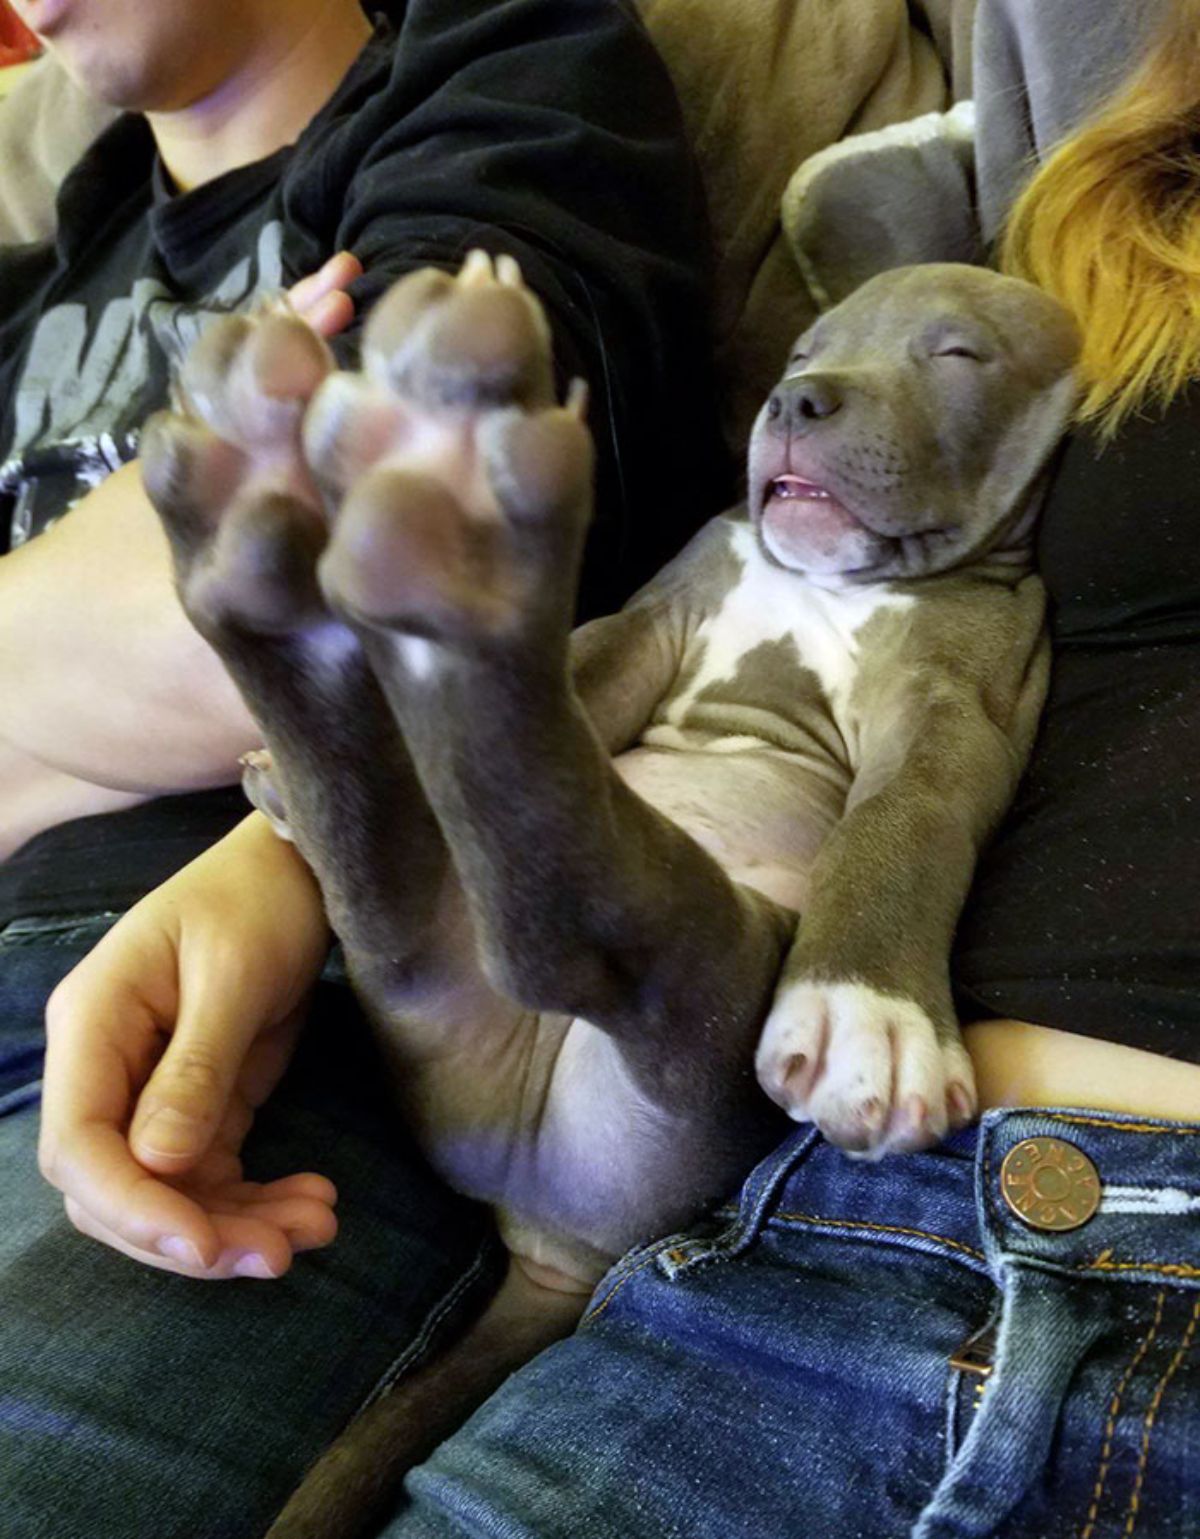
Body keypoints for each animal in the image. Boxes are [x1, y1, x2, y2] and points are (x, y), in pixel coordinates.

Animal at [138, 258, 1076, 1532]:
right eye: (804, 352)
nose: (802, 401)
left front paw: (865, 1011)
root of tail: (547, 1239)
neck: (829, 583)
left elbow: (904, 821)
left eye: (958, 355)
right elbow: (588, 667)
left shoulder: (962, 705)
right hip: (426, 976)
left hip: (695, 1029)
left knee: (587, 933)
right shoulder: (655, 618)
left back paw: (433, 508)